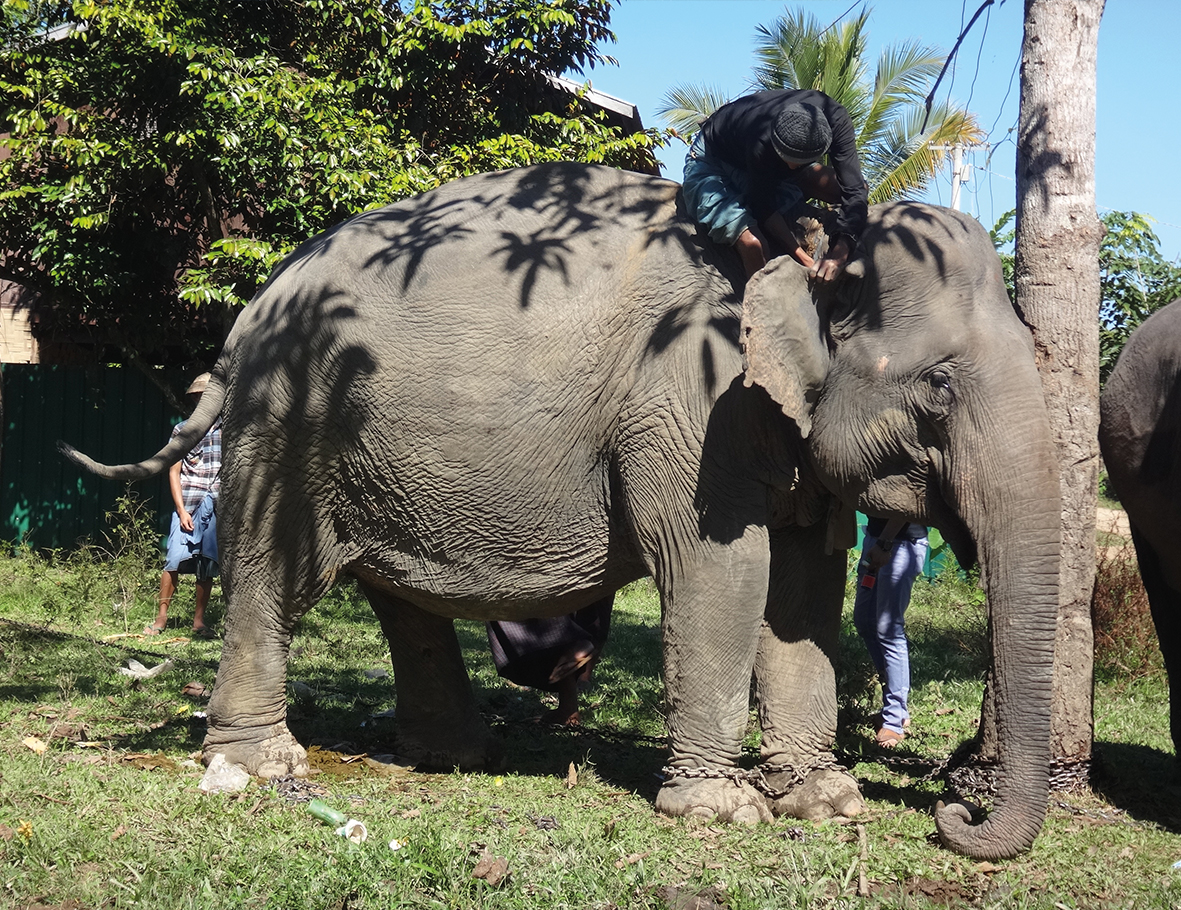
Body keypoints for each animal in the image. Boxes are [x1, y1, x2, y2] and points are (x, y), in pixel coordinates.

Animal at [64, 160, 1062, 859]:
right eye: (938, 390)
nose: (953, 811)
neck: (799, 253)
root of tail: (241, 323)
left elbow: (803, 597)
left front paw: (825, 800)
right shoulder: (690, 404)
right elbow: (722, 571)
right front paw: (721, 811)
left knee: (397, 599)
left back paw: (453, 754)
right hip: (287, 423)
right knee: (272, 579)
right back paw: (257, 766)